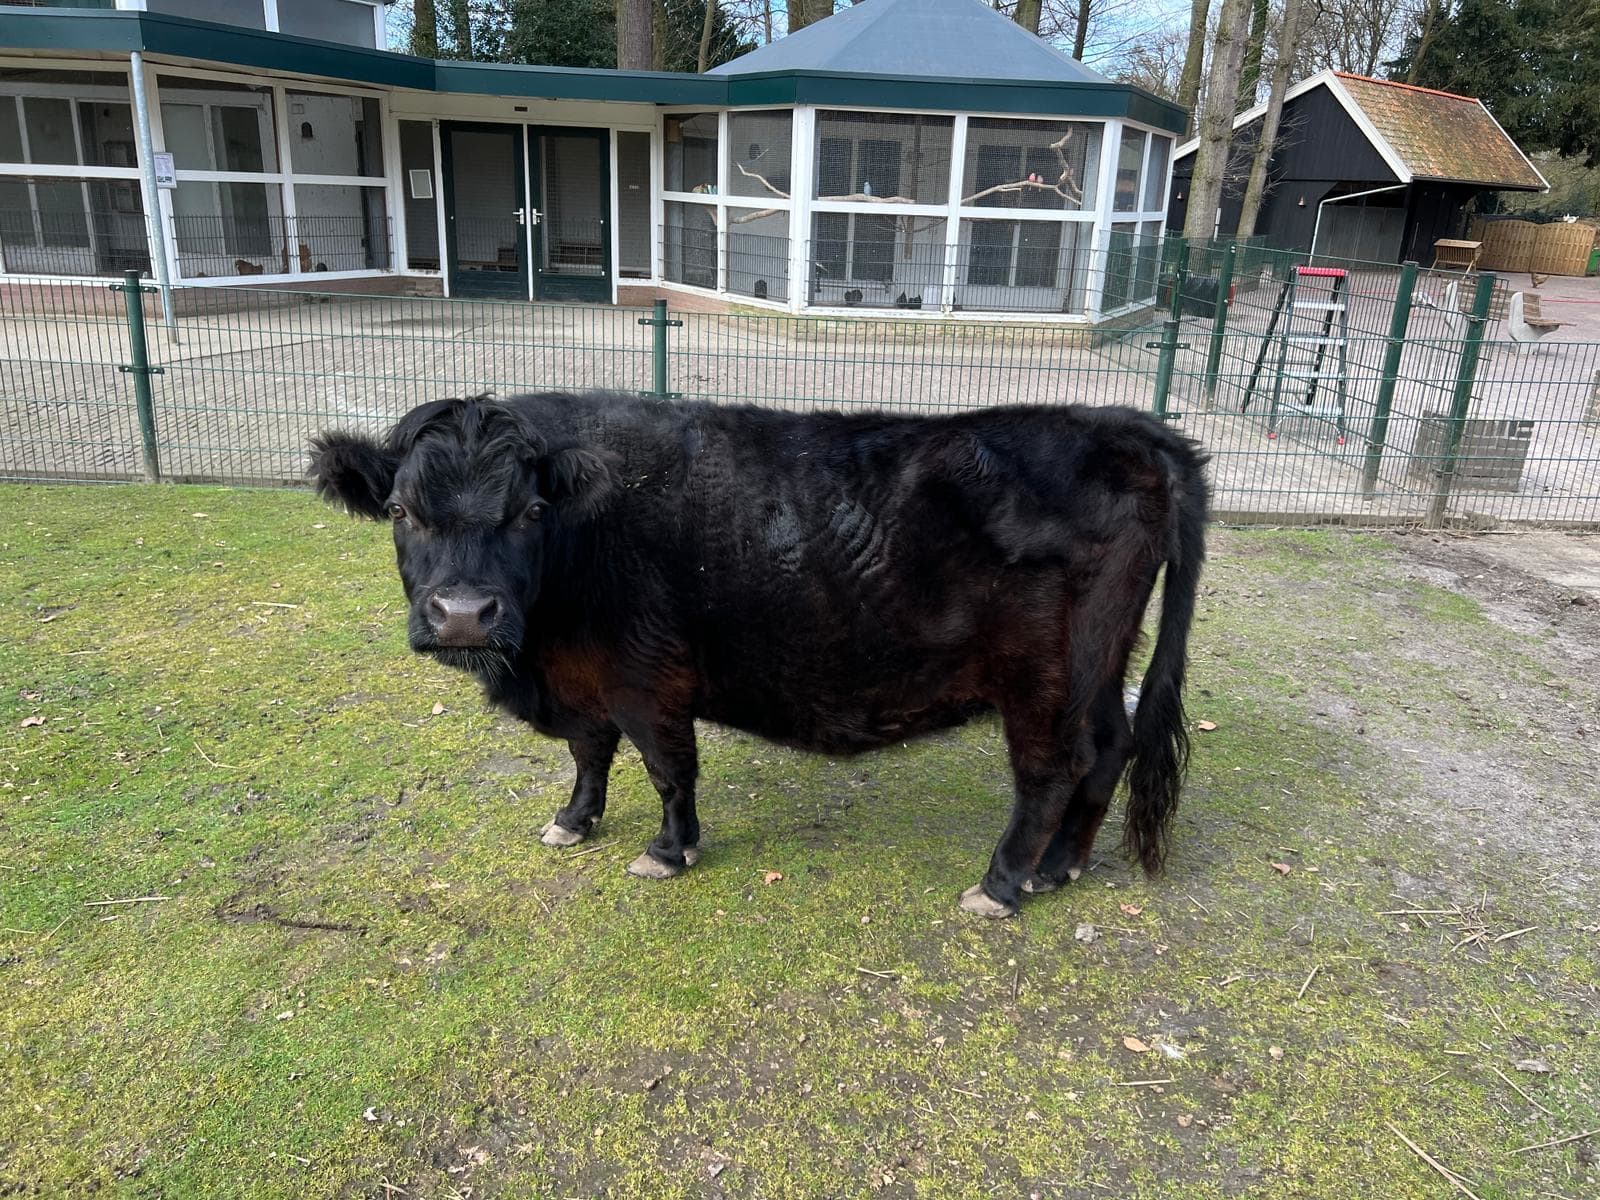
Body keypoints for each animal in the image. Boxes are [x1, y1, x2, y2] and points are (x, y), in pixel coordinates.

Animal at [309, 391, 1208, 917]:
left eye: (531, 510)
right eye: (400, 509)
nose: (463, 615)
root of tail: (1122, 425)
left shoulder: (646, 679)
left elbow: (668, 769)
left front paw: (667, 851)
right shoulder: (584, 680)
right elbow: (589, 753)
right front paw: (573, 820)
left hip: (1042, 678)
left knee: (1052, 771)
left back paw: (1002, 884)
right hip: (1101, 663)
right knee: (1112, 746)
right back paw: (1058, 868)